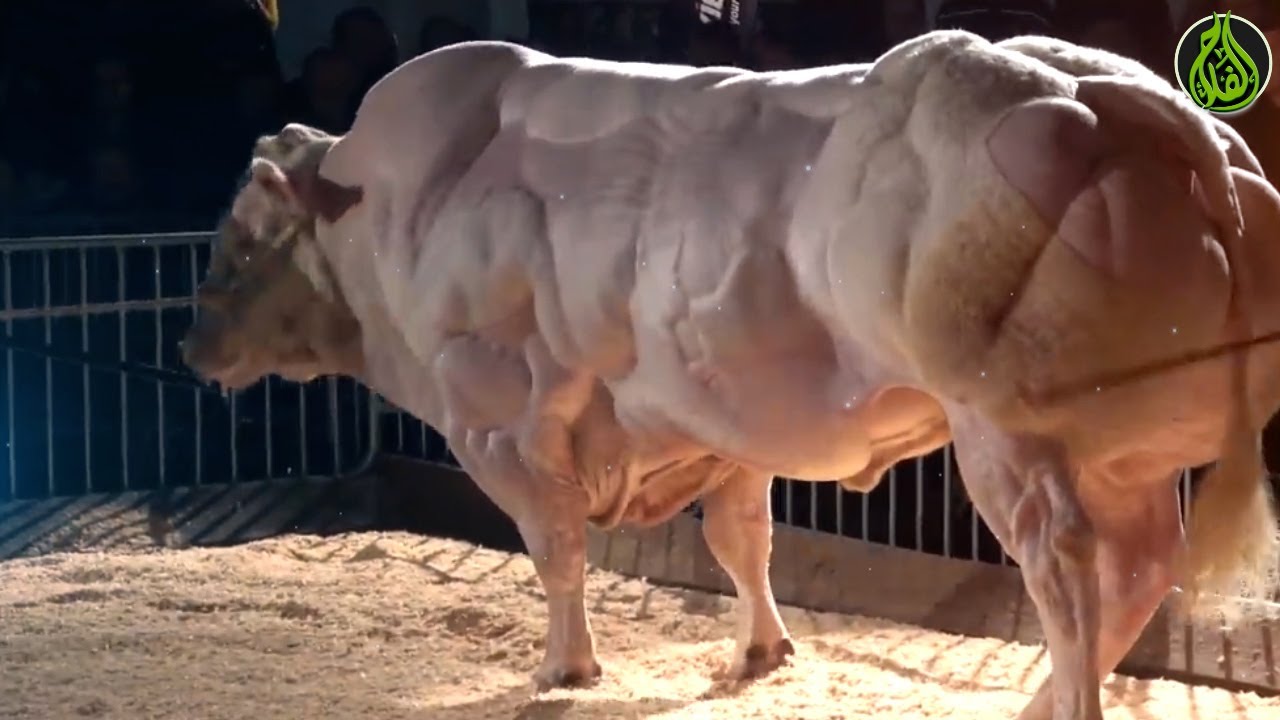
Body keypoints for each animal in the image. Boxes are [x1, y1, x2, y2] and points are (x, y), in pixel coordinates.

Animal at [180, 31, 1280, 720]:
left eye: (238, 239)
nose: (193, 348)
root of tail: (1127, 99)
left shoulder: (499, 419)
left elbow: (557, 552)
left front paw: (566, 667)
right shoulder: (717, 420)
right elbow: (742, 542)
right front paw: (762, 651)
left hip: (1007, 434)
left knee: (1068, 577)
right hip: (1127, 447)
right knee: (1141, 570)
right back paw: (1042, 698)